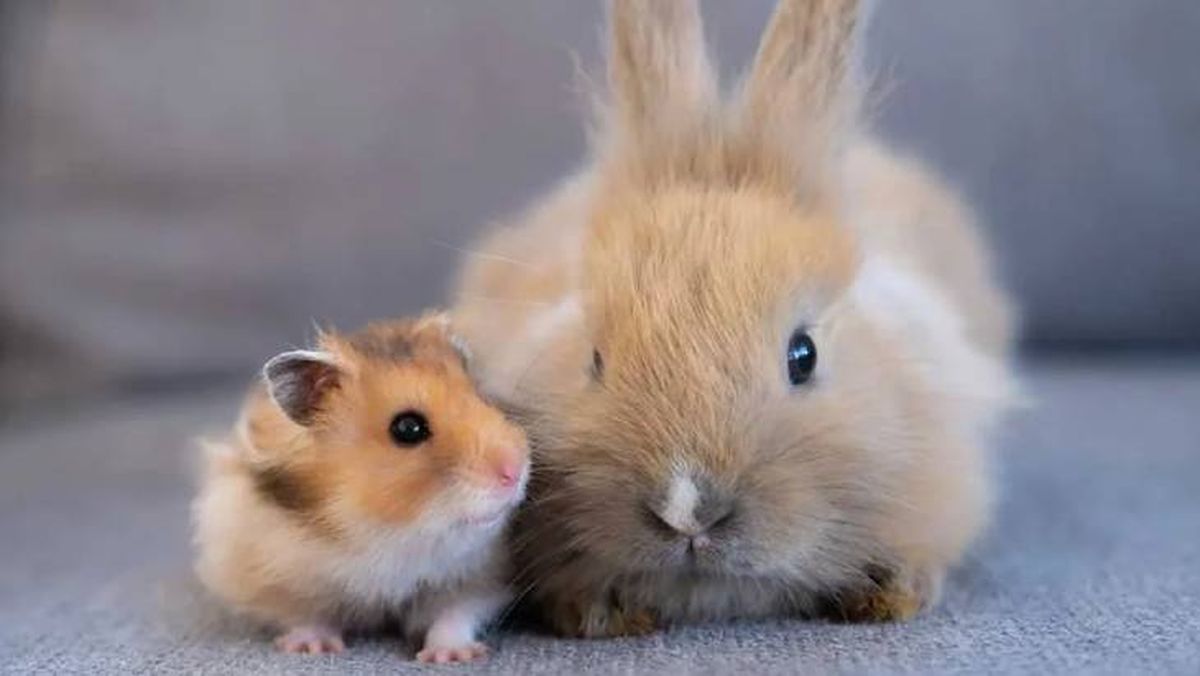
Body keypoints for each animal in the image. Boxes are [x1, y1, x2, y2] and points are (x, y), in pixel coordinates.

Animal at [192, 313, 529, 663]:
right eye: (408, 428)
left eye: (482, 397)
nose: (515, 471)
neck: (386, 530)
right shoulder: (273, 577)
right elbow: (306, 616)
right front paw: (313, 648)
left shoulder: (474, 575)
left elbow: (454, 615)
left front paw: (452, 656)